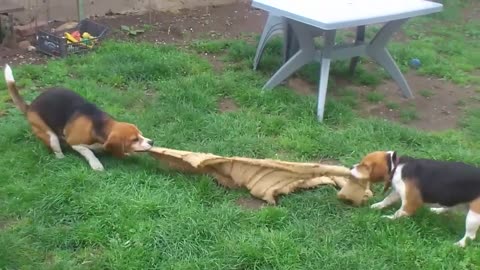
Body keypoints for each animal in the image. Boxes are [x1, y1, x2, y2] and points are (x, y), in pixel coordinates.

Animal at [3, 64, 154, 171]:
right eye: (134, 139)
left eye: (140, 134)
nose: (152, 142)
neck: (98, 124)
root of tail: (30, 106)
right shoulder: (75, 142)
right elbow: (89, 152)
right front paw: (96, 164)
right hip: (48, 134)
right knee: (56, 147)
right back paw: (62, 158)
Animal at [350, 151, 480, 248]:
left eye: (365, 166)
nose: (351, 166)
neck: (396, 166)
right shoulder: (397, 192)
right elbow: (387, 200)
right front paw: (377, 206)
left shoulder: (410, 204)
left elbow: (398, 213)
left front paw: (387, 218)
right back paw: (437, 210)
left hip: (473, 215)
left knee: (470, 236)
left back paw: (459, 244)